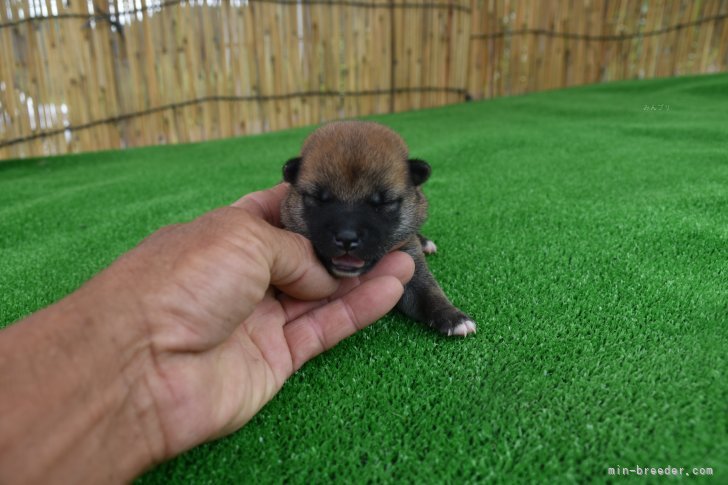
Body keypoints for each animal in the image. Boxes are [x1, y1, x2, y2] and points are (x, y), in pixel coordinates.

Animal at [280, 121, 476, 337]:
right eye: (318, 199)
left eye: (383, 203)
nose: (347, 237)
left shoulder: (411, 259)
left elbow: (428, 289)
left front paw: (453, 316)